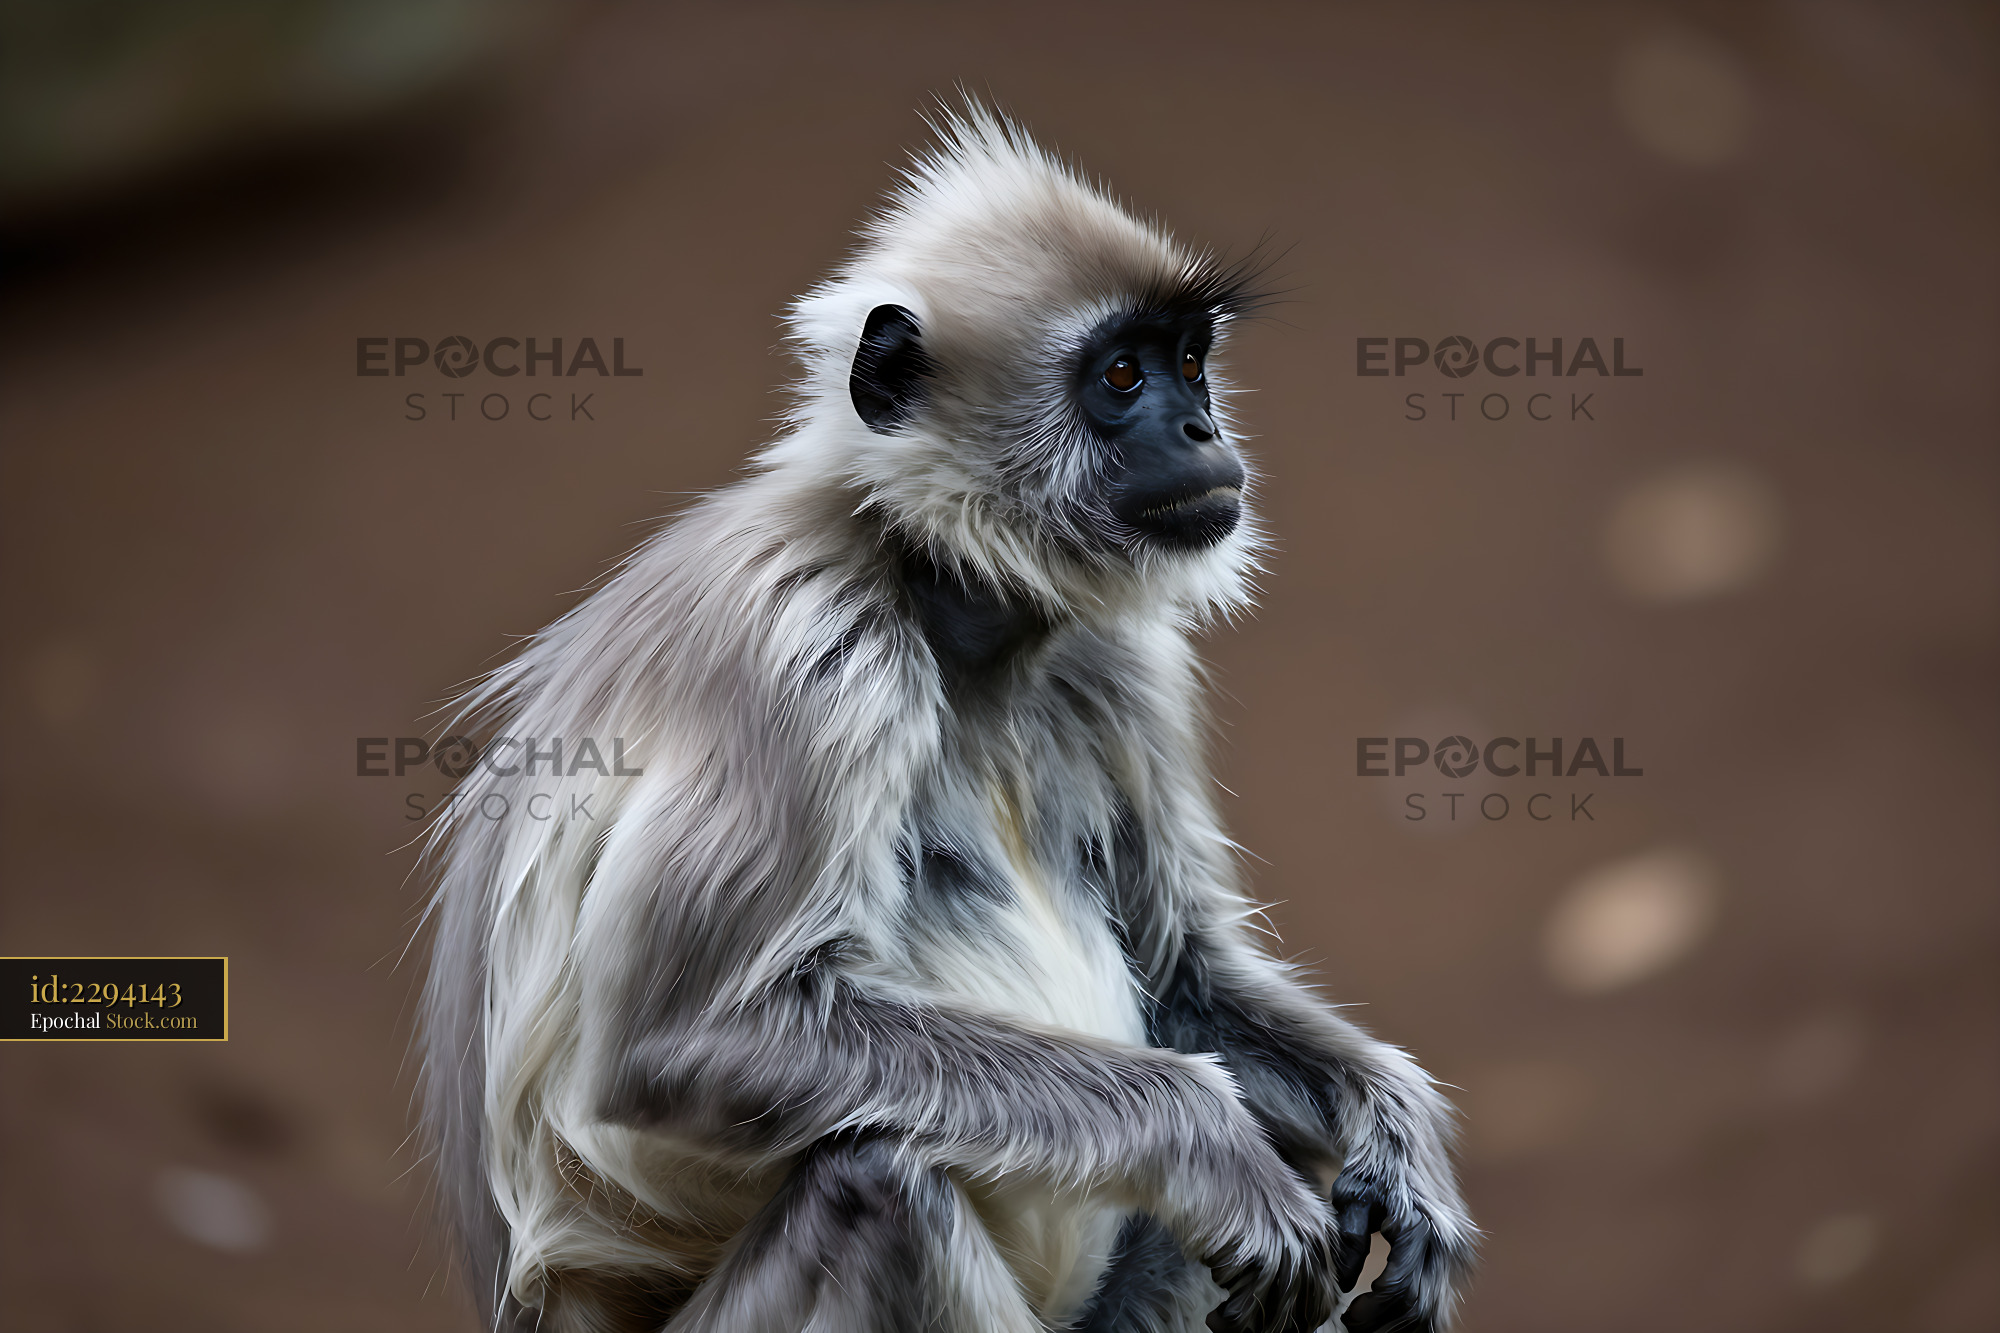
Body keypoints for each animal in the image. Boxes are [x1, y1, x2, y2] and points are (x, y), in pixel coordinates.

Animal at [418, 103, 1475, 1333]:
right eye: (1121, 375)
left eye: (1189, 361)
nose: (1204, 433)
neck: (955, 613)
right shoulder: (809, 648)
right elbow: (677, 1044)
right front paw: (1212, 1145)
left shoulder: (1114, 661)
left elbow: (1181, 981)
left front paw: (1399, 1144)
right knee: (881, 1182)